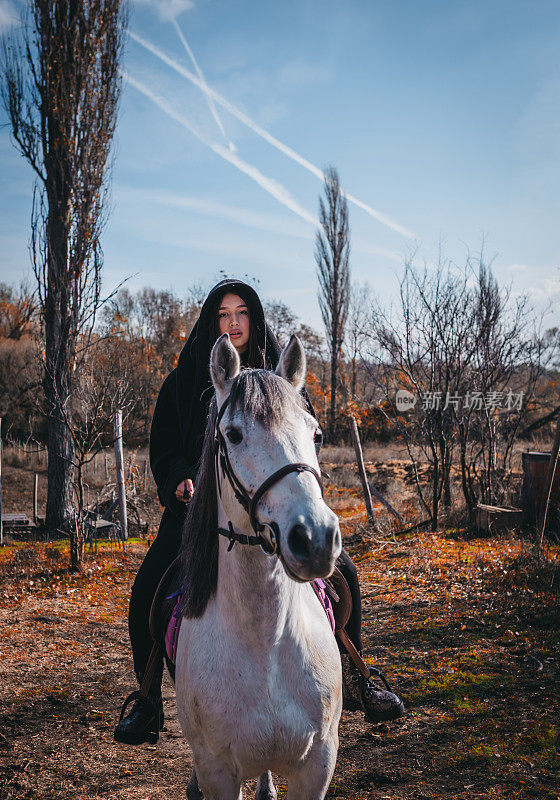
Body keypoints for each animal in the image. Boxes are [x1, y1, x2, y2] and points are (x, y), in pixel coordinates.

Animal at [176, 332, 342, 800]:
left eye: (316, 434)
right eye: (232, 435)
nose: (315, 539)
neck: (266, 642)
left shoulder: (318, 764)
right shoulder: (218, 770)